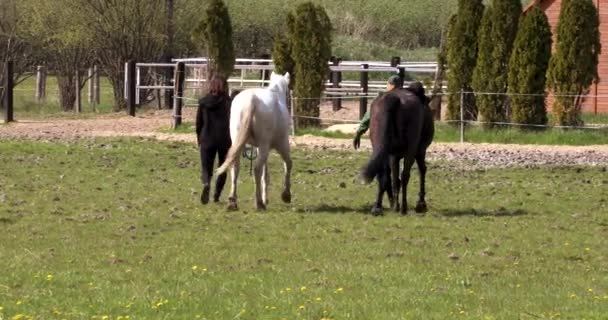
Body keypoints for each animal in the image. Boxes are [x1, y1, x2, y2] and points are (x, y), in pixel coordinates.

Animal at [216, 71, 292, 211]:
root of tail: (252, 99)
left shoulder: (259, 148)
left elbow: (265, 174)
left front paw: (266, 197)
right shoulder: (282, 145)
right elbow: (288, 164)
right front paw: (286, 195)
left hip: (241, 144)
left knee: (235, 168)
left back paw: (233, 202)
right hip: (264, 146)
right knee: (257, 169)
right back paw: (259, 203)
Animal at [360, 81, 432, 216]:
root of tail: (393, 99)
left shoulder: (392, 156)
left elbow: (392, 179)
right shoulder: (418, 152)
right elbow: (421, 171)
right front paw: (420, 204)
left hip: (384, 151)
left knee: (387, 177)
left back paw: (380, 206)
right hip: (410, 152)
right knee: (404, 176)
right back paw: (402, 207)